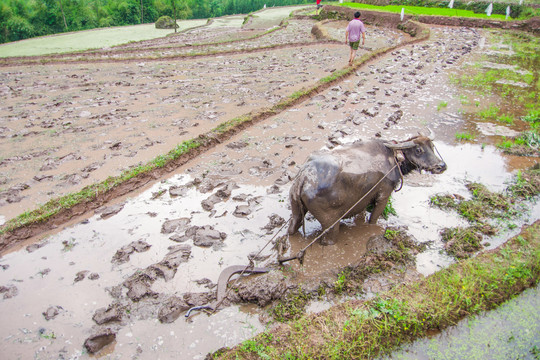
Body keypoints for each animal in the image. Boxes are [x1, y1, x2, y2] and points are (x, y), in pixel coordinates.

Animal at [288, 135, 446, 245]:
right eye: (419, 150)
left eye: (432, 147)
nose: (441, 166)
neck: (393, 159)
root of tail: (304, 176)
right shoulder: (384, 195)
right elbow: (374, 219)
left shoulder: (362, 200)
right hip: (330, 223)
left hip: (296, 209)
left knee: (293, 227)